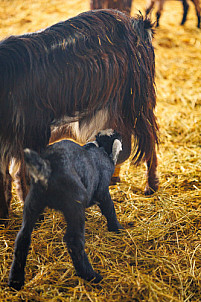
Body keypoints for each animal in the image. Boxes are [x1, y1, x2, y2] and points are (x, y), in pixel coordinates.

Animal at [0, 9, 159, 223]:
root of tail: (139, 24)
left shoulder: (31, 130)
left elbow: (21, 174)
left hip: (137, 101)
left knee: (149, 140)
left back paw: (151, 186)